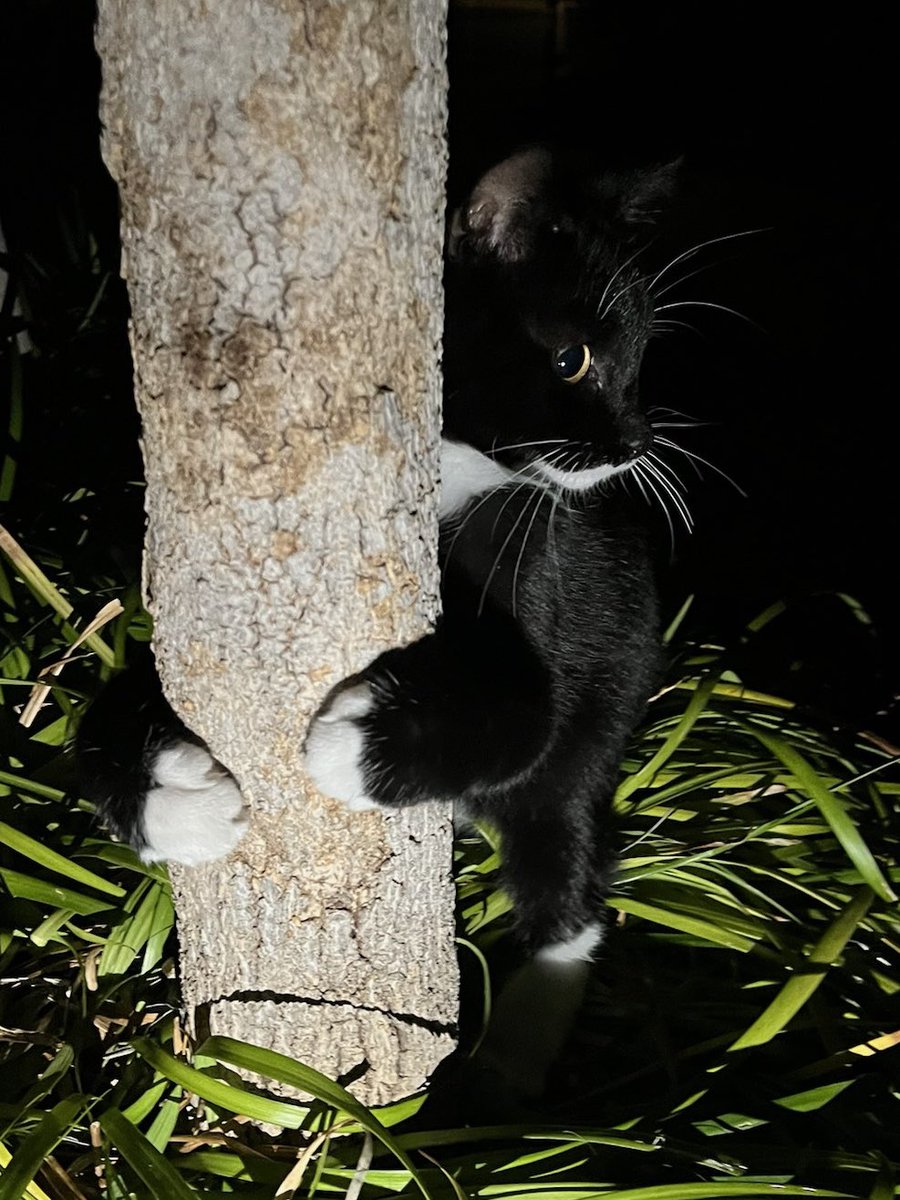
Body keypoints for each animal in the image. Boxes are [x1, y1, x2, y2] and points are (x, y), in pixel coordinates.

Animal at [81, 145, 681, 1094]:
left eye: (640, 360)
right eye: (571, 359)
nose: (635, 443)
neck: (459, 482)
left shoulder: (547, 576)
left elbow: (531, 715)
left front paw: (354, 748)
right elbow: (101, 713)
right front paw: (180, 806)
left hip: (599, 730)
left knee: (568, 878)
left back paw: (513, 1056)